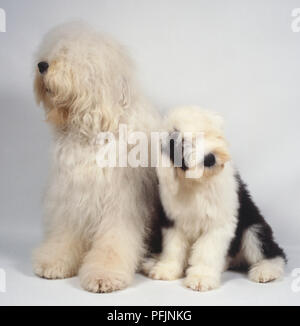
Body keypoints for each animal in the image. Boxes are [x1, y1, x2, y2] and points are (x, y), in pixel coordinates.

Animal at [32, 22, 162, 292]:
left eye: (71, 55)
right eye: (53, 49)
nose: (42, 65)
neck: (93, 130)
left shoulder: (121, 203)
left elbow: (113, 243)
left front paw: (104, 276)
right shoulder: (72, 195)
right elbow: (64, 235)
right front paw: (53, 262)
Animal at [144, 106, 288, 290]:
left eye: (204, 133)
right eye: (181, 145)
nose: (209, 158)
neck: (198, 183)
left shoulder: (218, 222)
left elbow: (206, 251)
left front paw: (201, 277)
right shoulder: (172, 221)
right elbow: (173, 247)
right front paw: (166, 269)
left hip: (253, 227)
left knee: (273, 252)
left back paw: (265, 271)